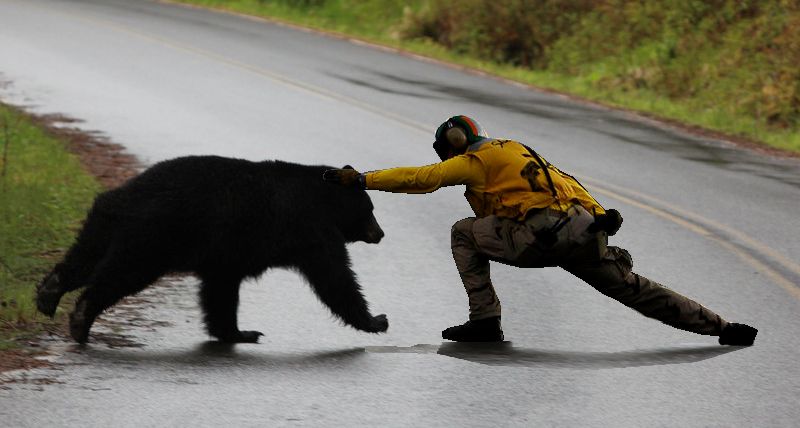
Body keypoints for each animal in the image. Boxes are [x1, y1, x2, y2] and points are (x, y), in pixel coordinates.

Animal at [35, 156, 388, 344]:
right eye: (370, 209)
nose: (380, 233)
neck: (324, 198)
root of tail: (126, 195)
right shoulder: (312, 232)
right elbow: (335, 278)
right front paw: (376, 320)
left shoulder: (227, 256)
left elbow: (220, 290)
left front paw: (237, 332)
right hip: (151, 238)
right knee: (119, 274)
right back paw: (81, 319)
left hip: (102, 222)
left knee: (83, 257)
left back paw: (49, 293)